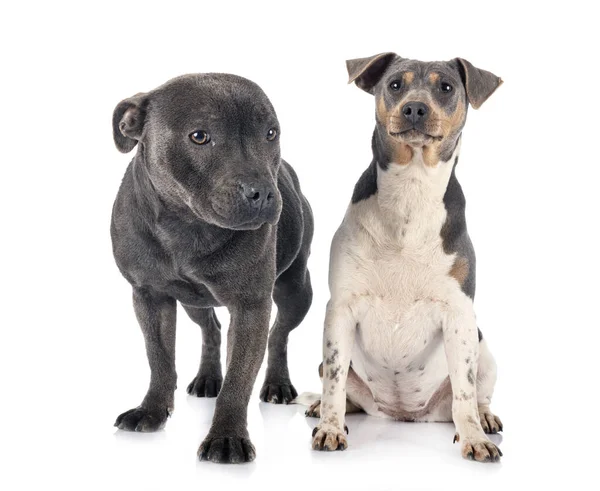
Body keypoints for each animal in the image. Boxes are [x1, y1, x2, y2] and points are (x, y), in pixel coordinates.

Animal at [110, 73, 314, 466]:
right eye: (200, 136)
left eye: (271, 133)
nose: (263, 192)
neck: (186, 226)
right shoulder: (149, 297)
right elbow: (159, 358)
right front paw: (152, 411)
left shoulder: (250, 306)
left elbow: (239, 378)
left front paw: (227, 437)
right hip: (193, 302)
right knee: (212, 328)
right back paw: (207, 377)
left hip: (297, 290)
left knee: (279, 333)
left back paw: (277, 383)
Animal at [302, 54, 504, 466]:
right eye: (395, 84)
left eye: (446, 87)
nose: (414, 107)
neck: (412, 189)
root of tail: (402, 414)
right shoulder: (340, 310)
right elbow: (334, 382)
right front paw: (330, 427)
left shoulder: (460, 314)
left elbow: (464, 393)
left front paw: (474, 437)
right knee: (342, 389)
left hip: (485, 352)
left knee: (476, 394)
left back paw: (487, 418)